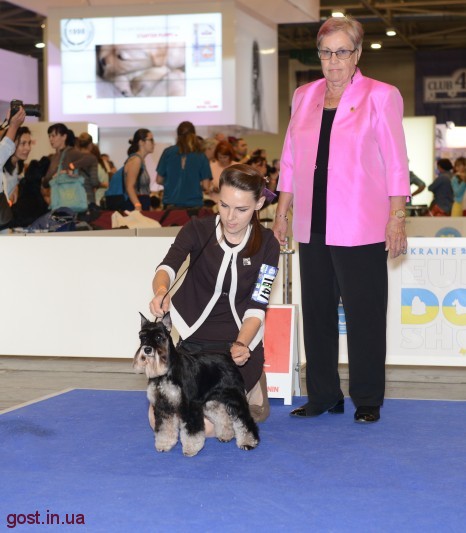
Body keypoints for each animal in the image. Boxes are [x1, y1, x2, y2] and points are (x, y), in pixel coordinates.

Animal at [133, 313, 259, 456]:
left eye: (159, 337)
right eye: (142, 337)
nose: (147, 349)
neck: (166, 371)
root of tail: (229, 358)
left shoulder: (189, 405)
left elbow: (191, 431)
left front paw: (191, 449)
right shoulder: (163, 407)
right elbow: (164, 428)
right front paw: (164, 444)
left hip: (234, 398)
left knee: (244, 420)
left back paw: (248, 442)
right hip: (211, 402)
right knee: (222, 416)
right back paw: (226, 436)